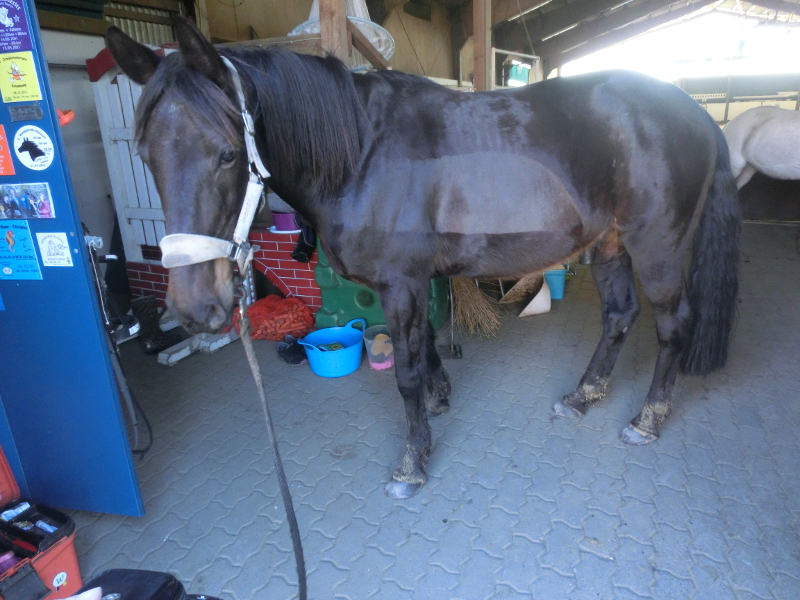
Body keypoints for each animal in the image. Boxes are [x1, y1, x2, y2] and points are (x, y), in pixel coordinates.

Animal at [106, 18, 740, 500]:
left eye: (227, 153)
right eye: (144, 153)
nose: (195, 306)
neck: (362, 153)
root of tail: (693, 112)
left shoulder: (400, 284)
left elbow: (406, 374)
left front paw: (412, 463)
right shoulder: (417, 282)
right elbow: (429, 345)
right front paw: (438, 402)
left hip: (656, 248)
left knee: (672, 325)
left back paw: (646, 420)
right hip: (608, 246)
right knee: (618, 316)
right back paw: (581, 398)